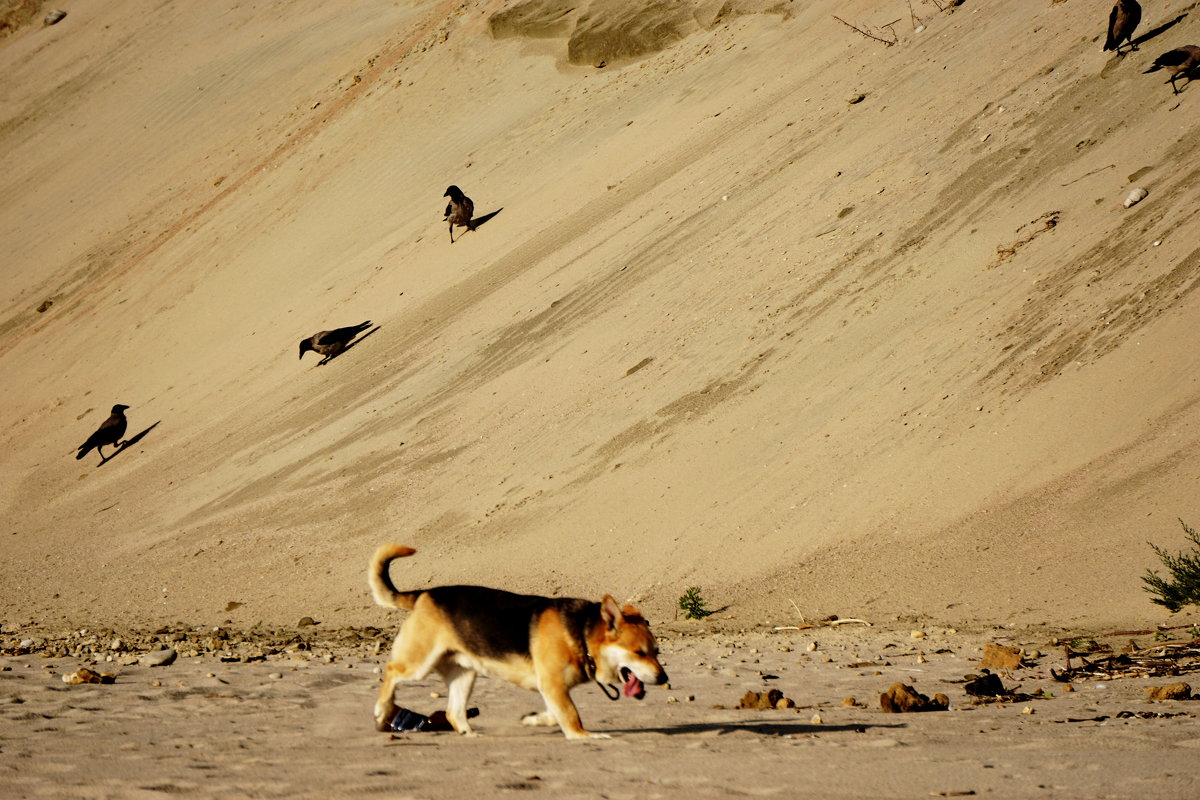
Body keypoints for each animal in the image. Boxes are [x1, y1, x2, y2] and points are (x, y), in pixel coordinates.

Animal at [367, 542, 667, 743]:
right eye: (639, 653)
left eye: (657, 651)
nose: (664, 679)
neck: (582, 634)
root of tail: (424, 594)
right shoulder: (553, 685)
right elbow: (571, 714)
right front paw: (582, 735)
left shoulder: (552, 689)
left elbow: (555, 713)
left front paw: (534, 719)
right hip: (419, 664)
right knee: (391, 672)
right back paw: (382, 712)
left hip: (464, 674)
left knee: (453, 712)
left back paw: (469, 734)